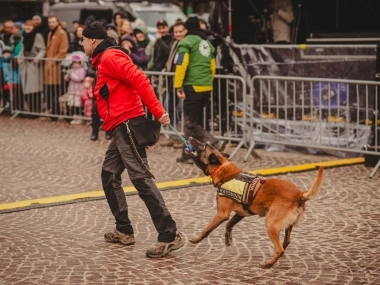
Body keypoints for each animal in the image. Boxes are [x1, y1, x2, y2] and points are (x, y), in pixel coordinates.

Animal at [184, 136, 324, 268]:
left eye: (203, 145)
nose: (190, 138)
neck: (222, 169)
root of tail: (299, 194)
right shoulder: (240, 213)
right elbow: (229, 225)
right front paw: (228, 239)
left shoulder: (221, 214)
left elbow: (207, 229)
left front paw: (196, 239)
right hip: (287, 225)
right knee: (285, 243)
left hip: (270, 223)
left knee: (280, 249)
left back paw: (268, 264)